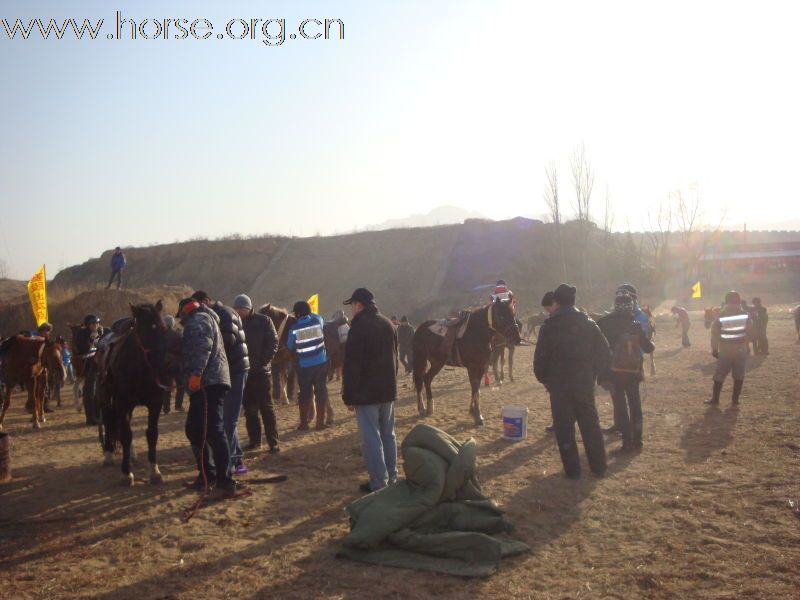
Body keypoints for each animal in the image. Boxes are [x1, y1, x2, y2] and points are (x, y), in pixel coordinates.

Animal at [99, 302, 170, 486]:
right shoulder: (122, 403)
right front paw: (126, 473)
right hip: (106, 398)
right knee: (109, 420)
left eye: (163, 328)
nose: (161, 363)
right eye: (142, 330)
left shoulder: (155, 403)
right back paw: (108, 455)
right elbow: (126, 434)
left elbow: (152, 434)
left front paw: (154, 471)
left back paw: (131, 455)